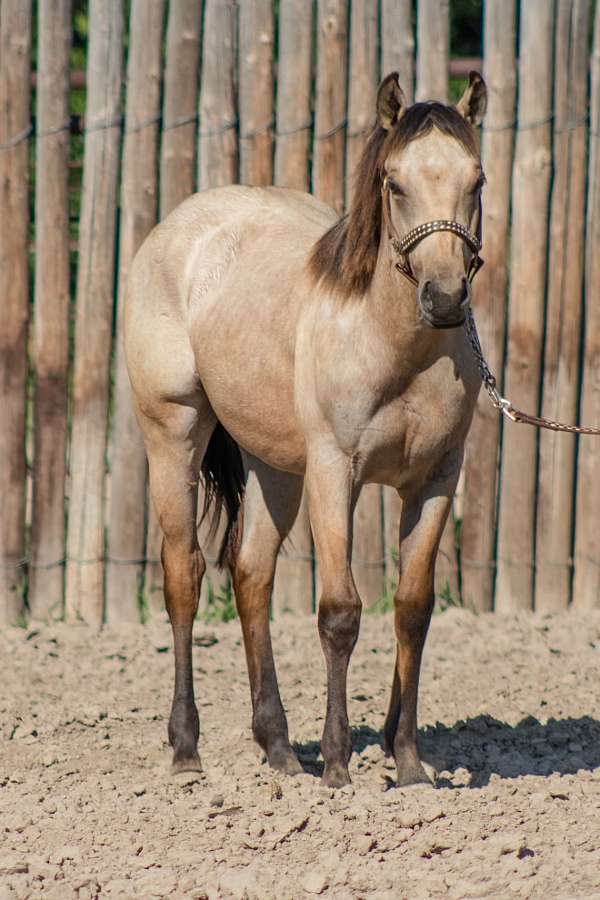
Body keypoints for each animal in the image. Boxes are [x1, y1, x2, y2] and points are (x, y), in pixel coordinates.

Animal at [125, 72, 488, 788]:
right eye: (393, 182)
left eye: (478, 180)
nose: (444, 299)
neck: (393, 347)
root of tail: (178, 229)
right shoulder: (333, 472)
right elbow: (340, 612)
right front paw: (341, 766)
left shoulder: (436, 478)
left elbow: (412, 609)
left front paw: (408, 763)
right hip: (175, 434)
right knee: (184, 575)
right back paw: (186, 749)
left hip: (275, 468)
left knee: (252, 575)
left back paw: (280, 749)